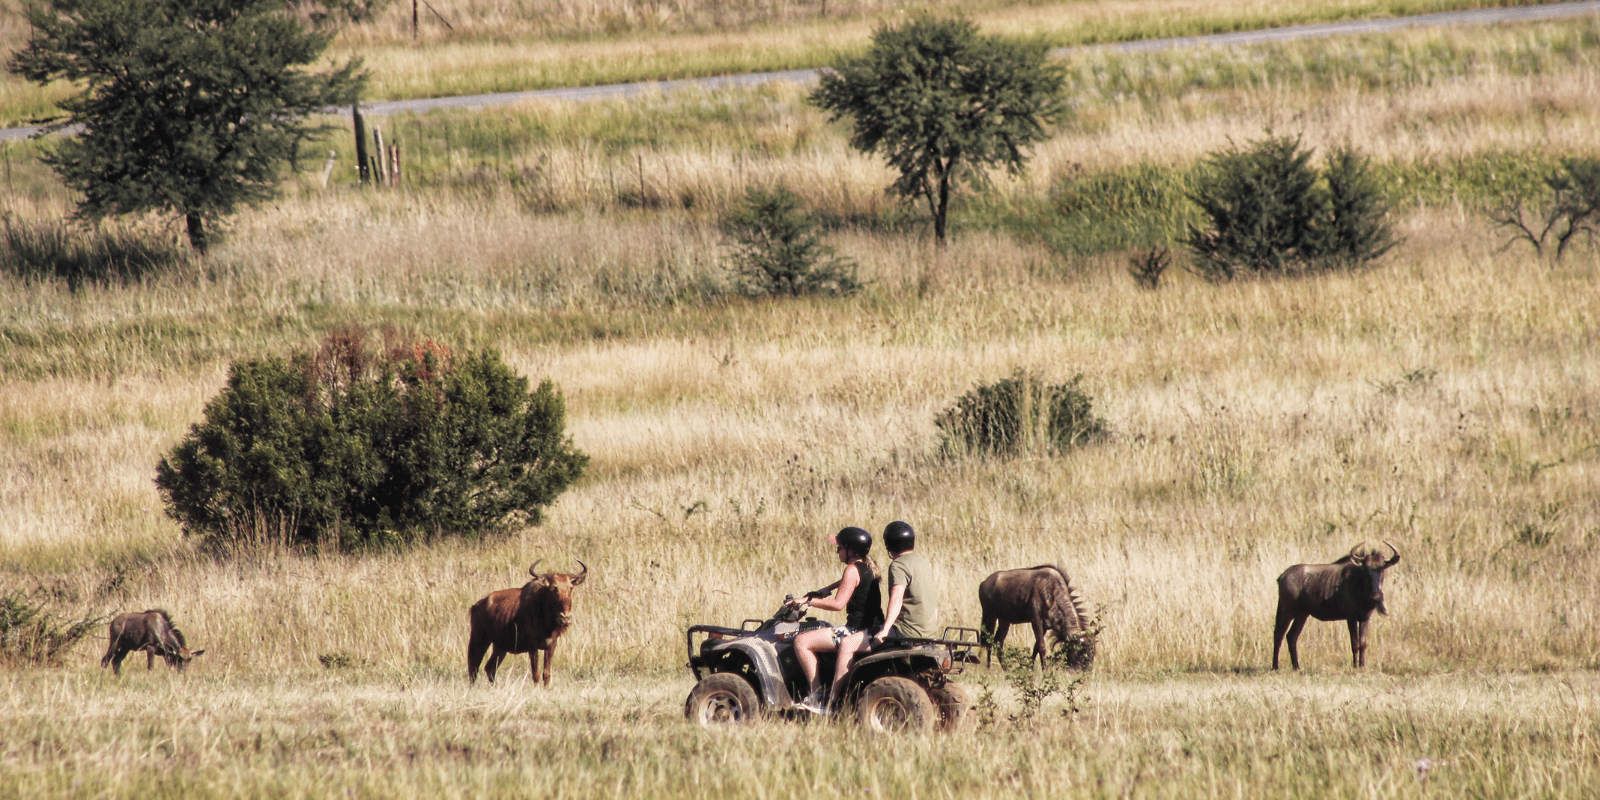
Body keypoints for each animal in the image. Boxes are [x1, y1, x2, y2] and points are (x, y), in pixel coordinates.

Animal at [966, 566, 1094, 672]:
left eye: (1092, 654)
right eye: (1081, 651)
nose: (1085, 672)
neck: (1052, 592)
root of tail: (984, 583)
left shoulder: (1045, 626)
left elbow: (1036, 647)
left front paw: (1030, 668)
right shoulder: (1036, 620)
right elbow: (1042, 647)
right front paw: (1044, 671)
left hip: (1004, 620)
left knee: (998, 641)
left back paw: (1005, 669)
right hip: (989, 616)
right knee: (989, 641)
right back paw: (988, 667)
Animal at [1273, 540, 1401, 672]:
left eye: (1382, 569)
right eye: (1365, 569)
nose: (1375, 596)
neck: (1358, 584)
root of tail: (1283, 576)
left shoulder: (1365, 618)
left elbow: (1363, 643)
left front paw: (1362, 665)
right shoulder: (1351, 618)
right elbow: (1355, 643)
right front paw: (1355, 666)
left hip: (1302, 615)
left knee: (1291, 636)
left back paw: (1296, 666)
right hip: (1286, 611)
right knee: (1278, 635)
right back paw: (1275, 666)